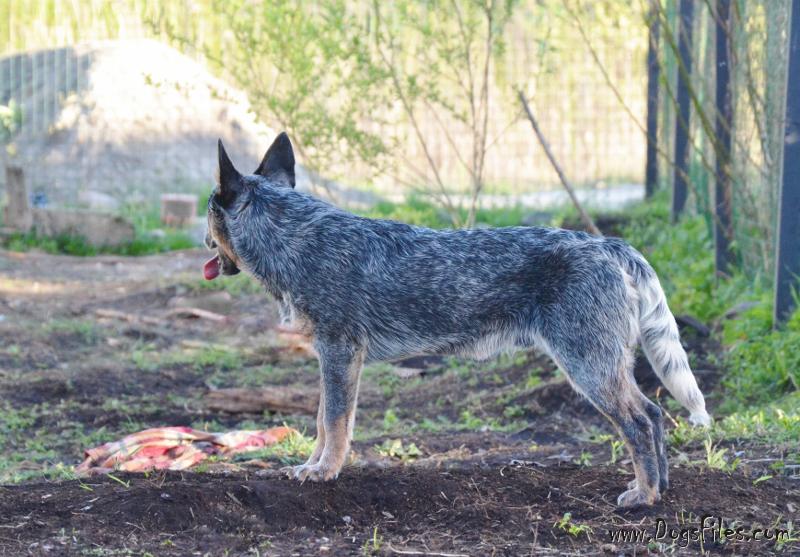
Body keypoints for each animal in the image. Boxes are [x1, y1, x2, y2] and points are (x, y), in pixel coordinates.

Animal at [204, 132, 711, 508]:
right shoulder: (335, 359)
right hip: (608, 367)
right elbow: (324, 421)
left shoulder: (339, 353)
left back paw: (644, 496)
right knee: (655, 413)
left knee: (639, 422)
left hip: (590, 368)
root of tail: (609, 244)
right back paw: (660, 488)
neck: (300, 238)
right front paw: (312, 465)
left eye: (208, 211)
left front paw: (324, 471)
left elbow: (334, 422)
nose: (202, 241)